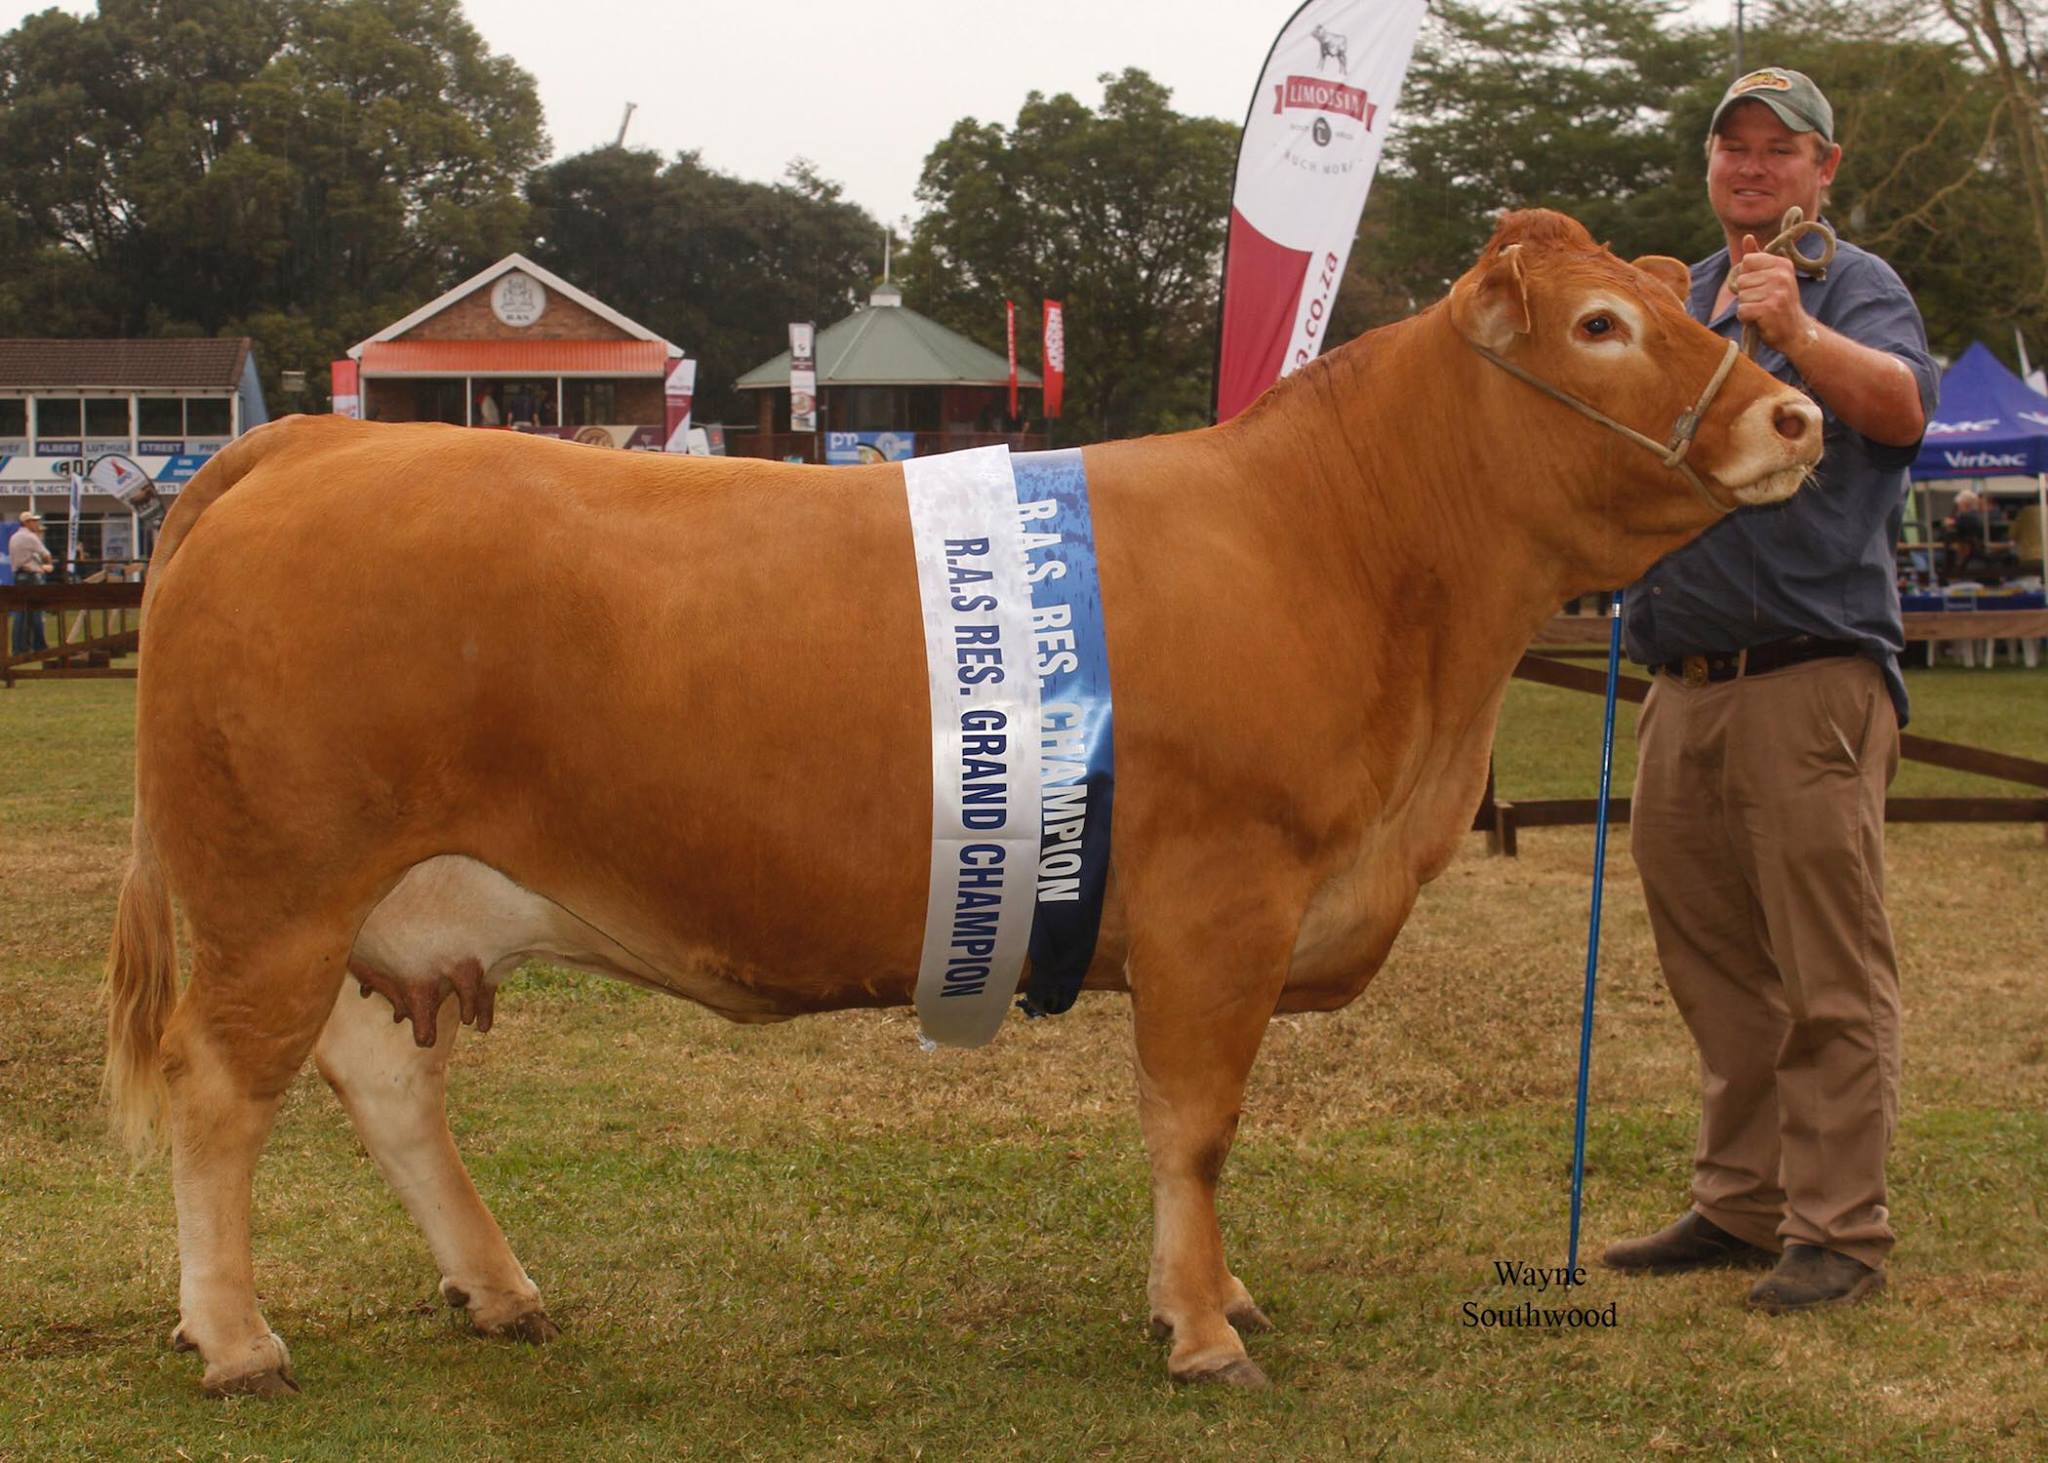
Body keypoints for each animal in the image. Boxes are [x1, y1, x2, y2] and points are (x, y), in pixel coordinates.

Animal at [104, 210, 1821, 1396]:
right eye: (1602, 322)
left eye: (1681, 303)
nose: (1798, 417)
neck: (1347, 549)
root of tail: (306, 439)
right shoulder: (1221, 904)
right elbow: (1197, 1125)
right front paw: (1205, 1328)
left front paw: (1219, 1296)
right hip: (275, 890)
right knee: (217, 1088)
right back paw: (236, 1336)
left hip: (364, 899)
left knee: (376, 1080)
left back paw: (497, 1286)